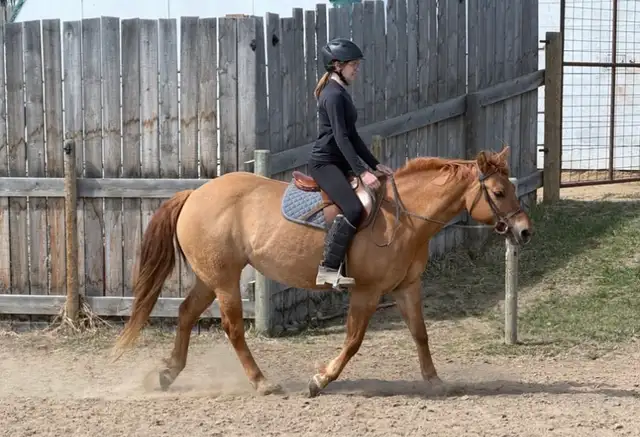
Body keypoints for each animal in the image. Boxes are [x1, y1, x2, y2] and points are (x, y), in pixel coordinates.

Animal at [112, 145, 533, 398]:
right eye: (498, 193)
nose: (524, 231)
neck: (404, 217)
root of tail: (195, 194)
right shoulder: (367, 290)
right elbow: (353, 340)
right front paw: (320, 380)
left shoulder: (406, 286)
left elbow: (420, 334)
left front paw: (435, 381)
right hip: (226, 281)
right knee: (233, 328)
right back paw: (262, 382)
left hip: (210, 277)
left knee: (185, 313)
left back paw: (169, 374)